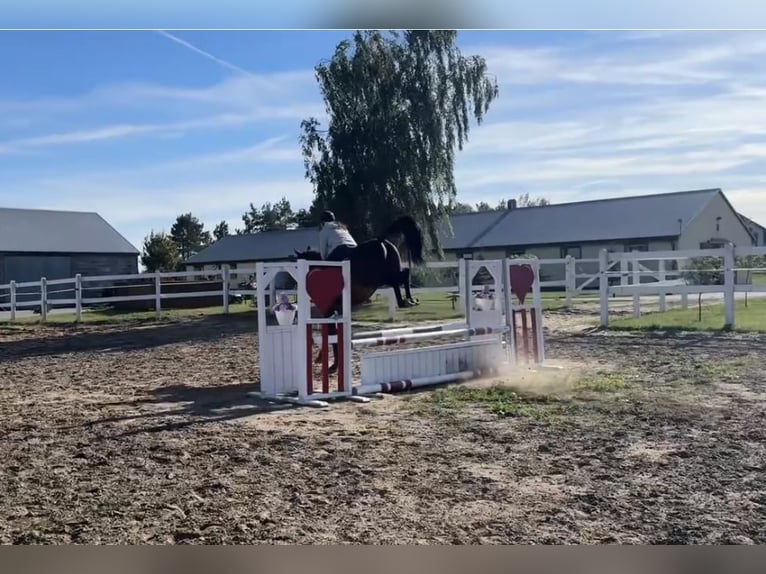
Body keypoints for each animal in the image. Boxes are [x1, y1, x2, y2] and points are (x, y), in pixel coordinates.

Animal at [292, 215, 425, 372]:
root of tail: (380, 240)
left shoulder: (329, 311)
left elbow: (332, 336)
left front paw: (333, 366)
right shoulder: (337, 311)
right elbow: (333, 336)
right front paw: (327, 361)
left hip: (379, 277)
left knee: (398, 280)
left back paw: (405, 301)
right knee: (405, 274)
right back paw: (410, 300)